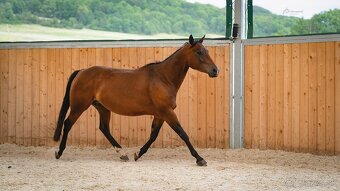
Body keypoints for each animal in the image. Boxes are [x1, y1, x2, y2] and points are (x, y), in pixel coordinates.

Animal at [53, 34, 218, 166]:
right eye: (199, 52)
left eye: (207, 51)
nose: (215, 70)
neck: (163, 78)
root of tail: (81, 71)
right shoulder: (167, 112)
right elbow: (183, 134)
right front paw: (199, 159)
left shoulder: (160, 114)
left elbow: (153, 135)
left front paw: (137, 154)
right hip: (79, 106)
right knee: (67, 124)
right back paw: (59, 152)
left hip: (102, 107)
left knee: (104, 128)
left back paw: (123, 154)